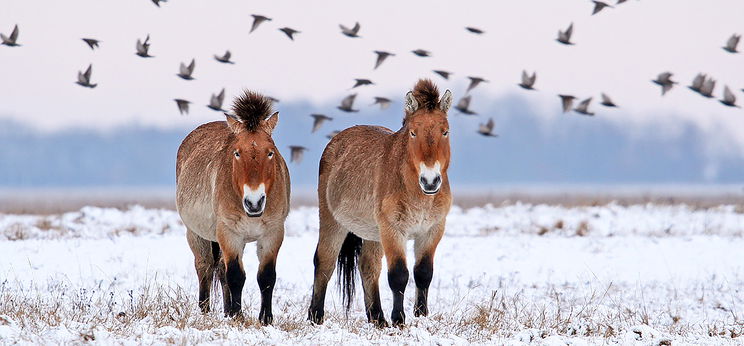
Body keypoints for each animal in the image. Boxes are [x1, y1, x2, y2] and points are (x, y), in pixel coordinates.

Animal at [175, 90, 290, 324]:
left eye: (270, 152)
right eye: (237, 152)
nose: (254, 202)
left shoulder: (273, 233)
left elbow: (266, 276)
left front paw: (265, 319)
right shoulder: (229, 233)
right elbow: (236, 275)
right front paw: (237, 316)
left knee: (220, 268)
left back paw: (226, 310)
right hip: (196, 234)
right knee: (205, 267)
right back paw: (205, 310)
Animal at [308, 79, 454, 328]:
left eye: (445, 131)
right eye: (413, 132)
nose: (430, 180)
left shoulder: (432, 230)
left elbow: (423, 273)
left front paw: (421, 315)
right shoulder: (393, 230)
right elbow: (398, 275)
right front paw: (399, 320)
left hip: (372, 234)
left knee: (368, 266)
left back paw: (377, 318)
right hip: (333, 222)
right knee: (325, 262)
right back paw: (315, 316)